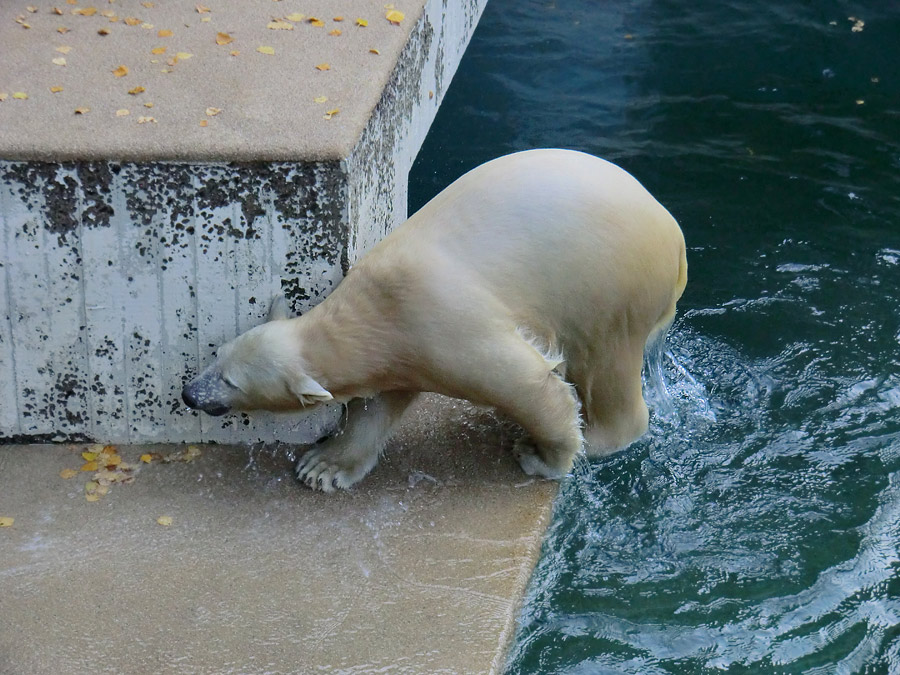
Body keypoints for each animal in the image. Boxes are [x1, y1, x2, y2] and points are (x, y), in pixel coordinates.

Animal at [185, 151, 688, 494]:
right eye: (216, 354)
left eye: (230, 382)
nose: (190, 393)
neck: (375, 311)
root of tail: (676, 236)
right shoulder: (399, 349)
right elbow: (377, 405)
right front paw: (323, 467)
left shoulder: (439, 322)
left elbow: (527, 383)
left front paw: (542, 458)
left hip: (613, 286)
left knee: (607, 363)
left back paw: (600, 438)